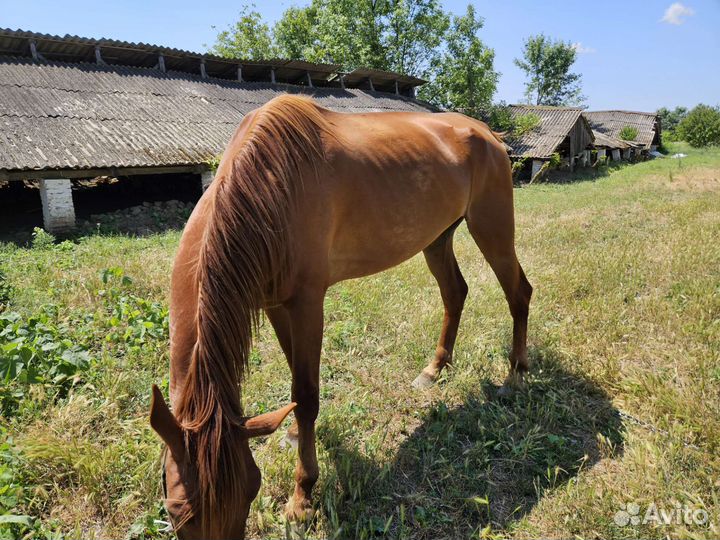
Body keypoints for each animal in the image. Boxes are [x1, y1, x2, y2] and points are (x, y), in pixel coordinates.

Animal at [149, 94, 532, 539]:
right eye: (177, 512)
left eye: (250, 491)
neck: (268, 188)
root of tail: (487, 132)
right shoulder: (275, 304)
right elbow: (296, 386)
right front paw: (293, 434)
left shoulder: (308, 303)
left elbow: (306, 395)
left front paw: (302, 498)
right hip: (438, 238)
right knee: (455, 294)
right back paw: (435, 368)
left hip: (492, 228)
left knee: (519, 292)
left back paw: (516, 373)